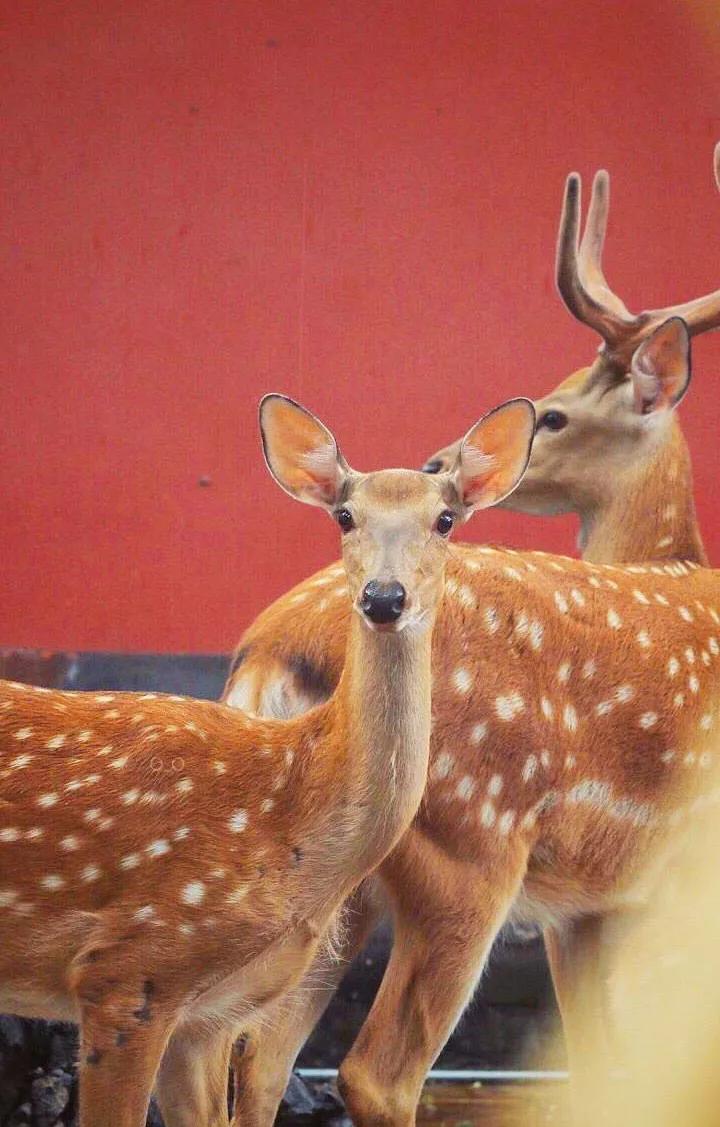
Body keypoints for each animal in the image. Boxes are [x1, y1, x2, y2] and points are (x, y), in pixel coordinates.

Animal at [156, 152, 720, 1127]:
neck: (682, 560)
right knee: (372, 1069)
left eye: (556, 414)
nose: (438, 461)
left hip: (336, 885)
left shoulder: (591, 907)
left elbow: (604, 1070)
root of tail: (271, 651)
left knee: (250, 1053)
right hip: (472, 845)